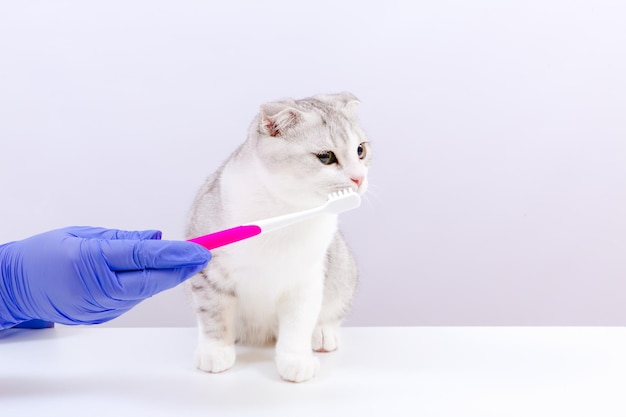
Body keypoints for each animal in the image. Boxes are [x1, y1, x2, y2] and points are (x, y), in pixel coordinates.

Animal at [184, 92, 370, 382]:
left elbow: (297, 326)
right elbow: (213, 315)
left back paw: (323, 333)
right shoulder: (208, 272)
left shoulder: (306, 280)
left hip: (342, 266)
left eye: (360, 150)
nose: (359, 178)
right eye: (326, 157)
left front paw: (295, 361)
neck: (286, 212)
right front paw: (215, 352)